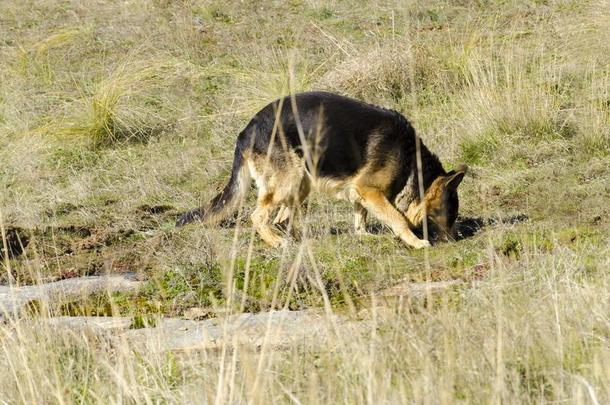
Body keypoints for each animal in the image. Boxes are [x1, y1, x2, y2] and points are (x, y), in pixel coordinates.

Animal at [176, 91, 466, 248]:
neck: (410, 160)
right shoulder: (369, 190)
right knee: (257, 217)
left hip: (301, 182)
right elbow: (399, 219)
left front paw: (364, 236)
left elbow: (361, 217)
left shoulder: (359, 192)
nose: (457, 240)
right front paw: (415, 242)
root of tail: (247, 130)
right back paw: (275, 241)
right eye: (448, 215)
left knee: (281, 218)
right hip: (288, 181)